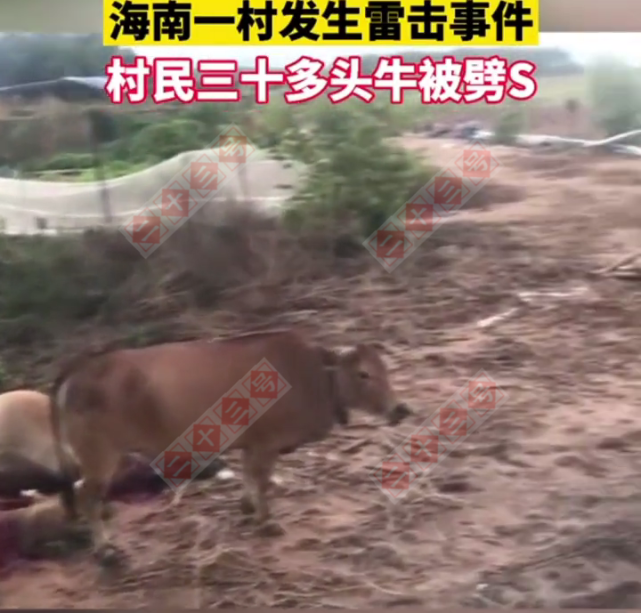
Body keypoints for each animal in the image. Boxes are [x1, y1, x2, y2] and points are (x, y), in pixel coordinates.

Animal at [48, 328, 410, 568]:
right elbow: (262, 482)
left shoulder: (252, 444)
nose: (400, 409)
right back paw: (106, 551)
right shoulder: (267, 443)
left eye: (385, 370)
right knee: (87, 495)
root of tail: (78, 370)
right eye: (363, 374)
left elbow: (249, 477)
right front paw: (267, 521)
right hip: (100, 456)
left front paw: (247, 508)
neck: (314, 377)